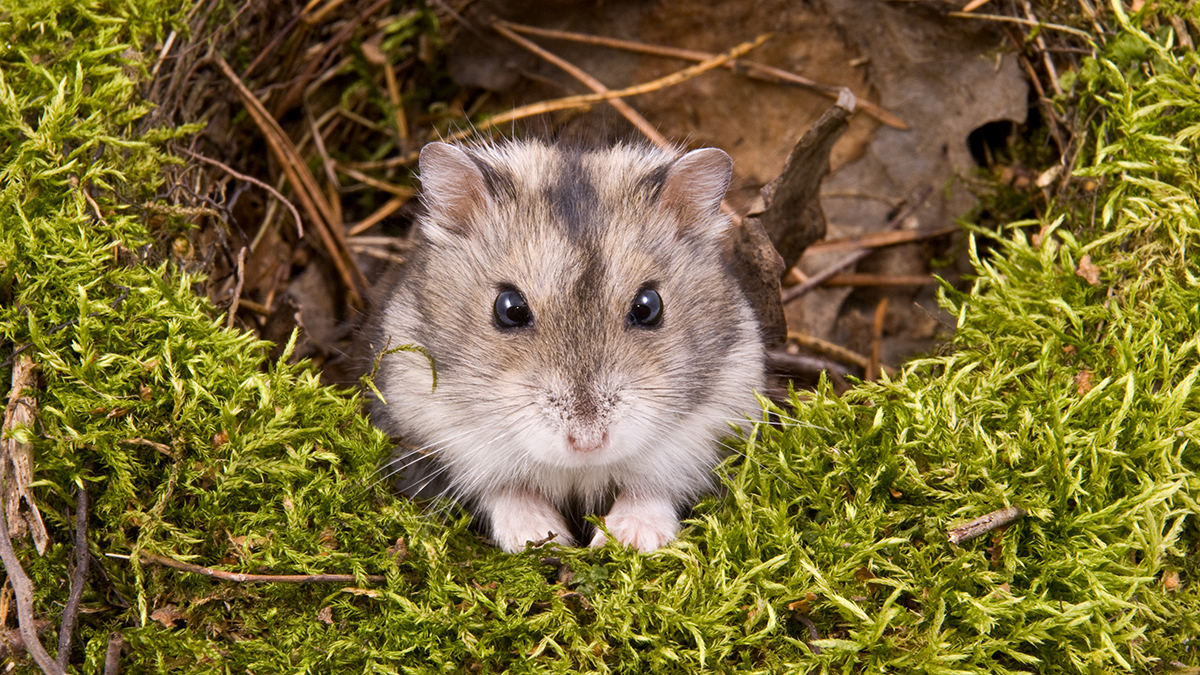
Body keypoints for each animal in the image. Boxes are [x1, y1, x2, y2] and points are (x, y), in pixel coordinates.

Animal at [369, 138, 763, 552]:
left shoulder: (708, 426)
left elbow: (651, 488)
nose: (587, 443)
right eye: (509, 308)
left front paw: (629, 539)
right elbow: (505, 490)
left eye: (649, 306)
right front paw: (543, 539)